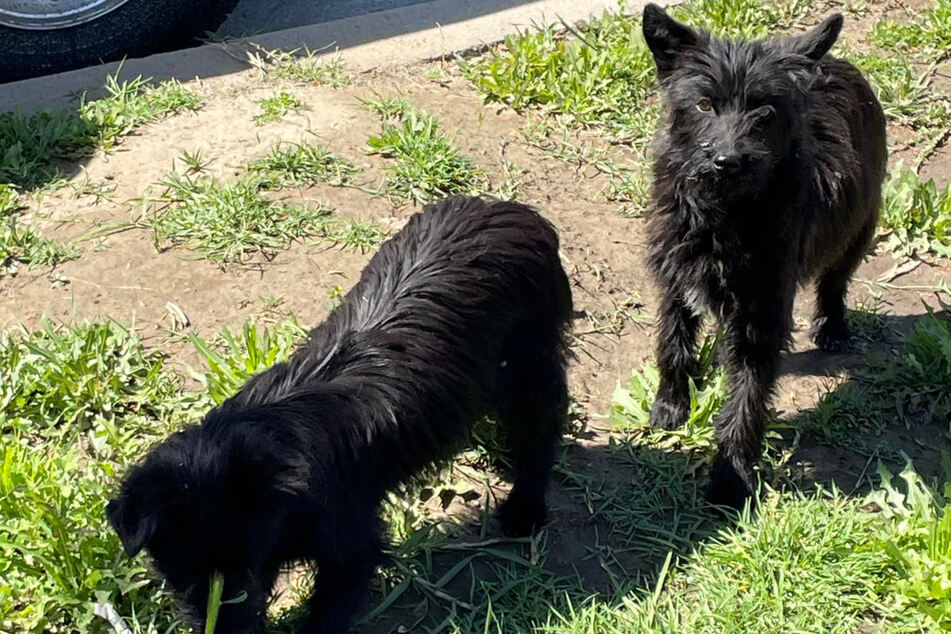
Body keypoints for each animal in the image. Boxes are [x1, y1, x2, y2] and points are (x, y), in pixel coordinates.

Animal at [106, 195, 572, 628]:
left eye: (243, 574)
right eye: (182, 578)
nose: (220, 624)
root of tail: (515, 211)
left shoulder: (348, 544)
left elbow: (328, 610)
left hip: (527, 366)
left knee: (544, 422)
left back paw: (524, 507)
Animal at [644, 4, 888, 508]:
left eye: (765, 111)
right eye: (704, 105)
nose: (727, 160)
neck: (725, 213)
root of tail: (835, 62)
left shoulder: (762, 311)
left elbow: (747, 398)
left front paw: (730, 480)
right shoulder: (676, 277)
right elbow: (672, 342)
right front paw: (671, 405)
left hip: (860, 224)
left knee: (836, 279)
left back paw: (833, 327)